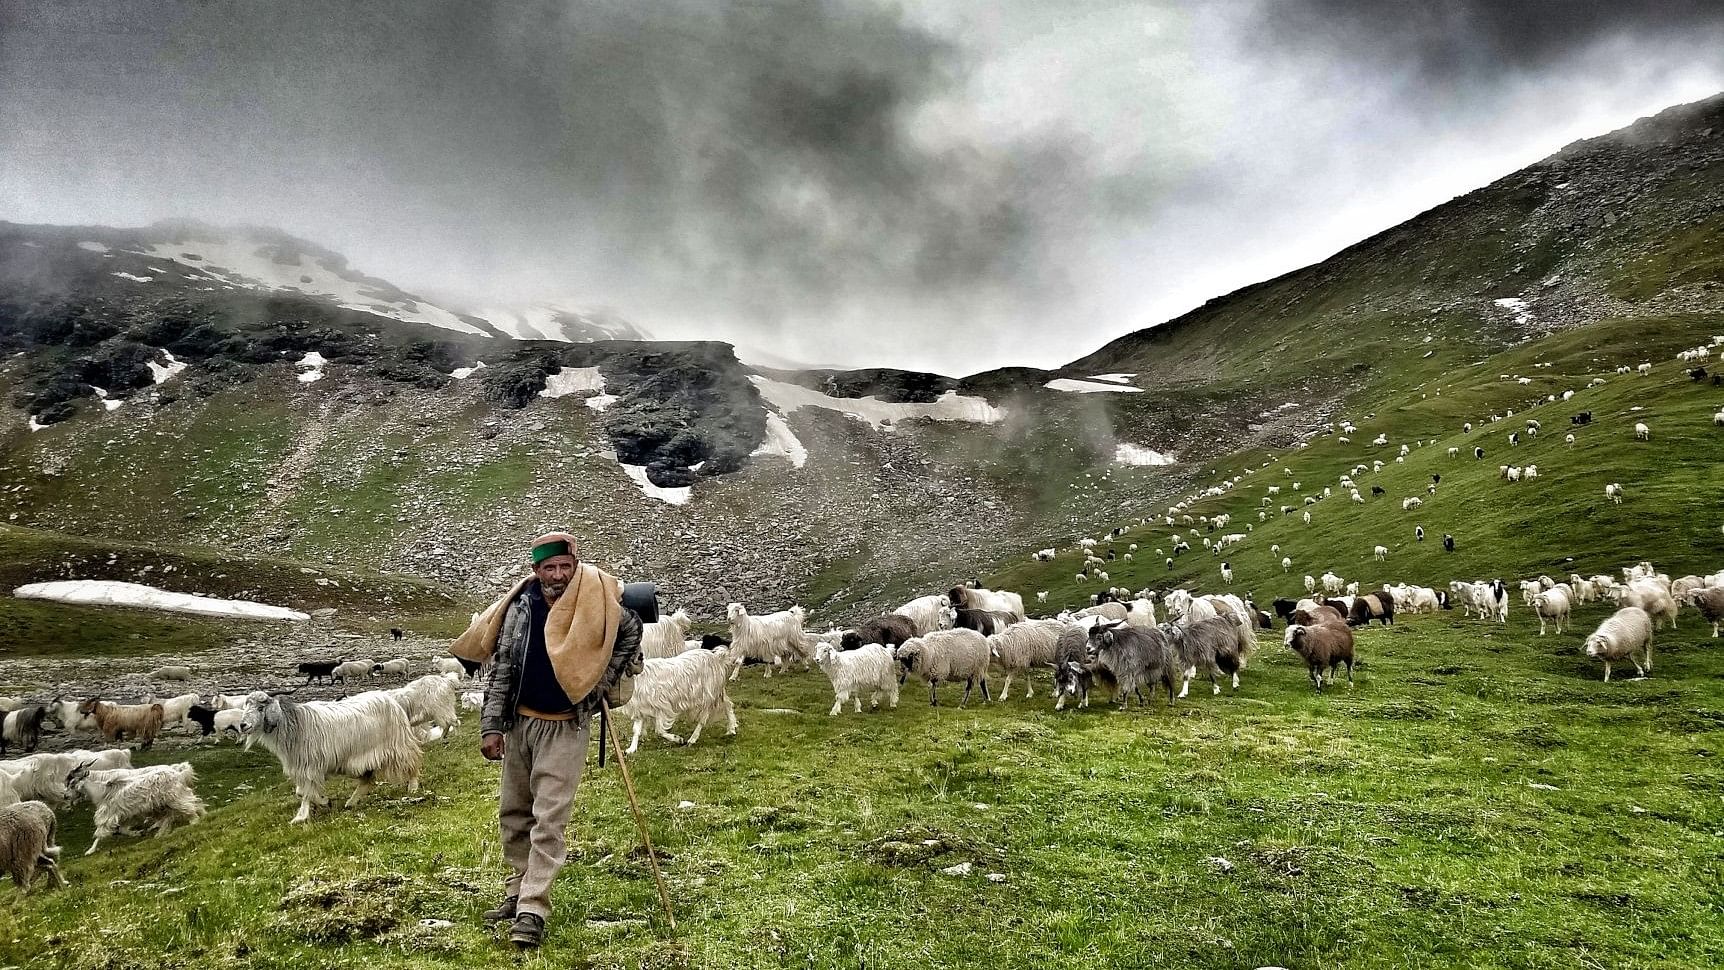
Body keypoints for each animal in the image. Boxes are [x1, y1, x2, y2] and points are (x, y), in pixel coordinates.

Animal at [236, 696, 420, 823]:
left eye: (261, 708)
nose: (243, 725)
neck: (293, 725)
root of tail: (391, 699)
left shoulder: (310, 767)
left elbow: (306, 792)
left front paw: (306, 813)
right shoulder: (303, 768)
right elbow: (301, 792)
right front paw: (322, 803)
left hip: (399, 746)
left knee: (412, 764)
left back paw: (413, 787)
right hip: (359, 760)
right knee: (367, 780)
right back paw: (352, 802)